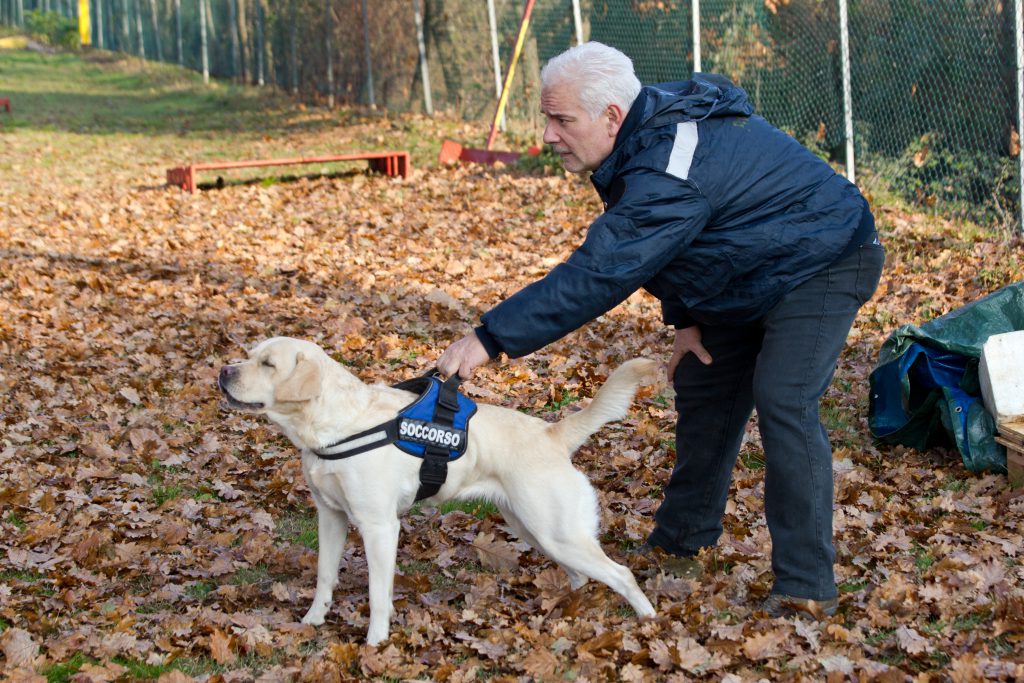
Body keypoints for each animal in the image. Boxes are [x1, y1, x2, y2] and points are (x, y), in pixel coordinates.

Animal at [220, 335, 659, 647]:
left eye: (268, 364)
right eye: (249, 355)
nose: (224, 370)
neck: (337, 426)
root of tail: (553, 433)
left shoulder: (379, 527)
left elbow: (378, 594)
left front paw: (376, 643)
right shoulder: (330, 516)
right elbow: (325, 575)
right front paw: (313, 621)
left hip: (556, 533)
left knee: (621, 574)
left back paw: (649, 622)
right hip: (536, 530)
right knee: (581, 576)